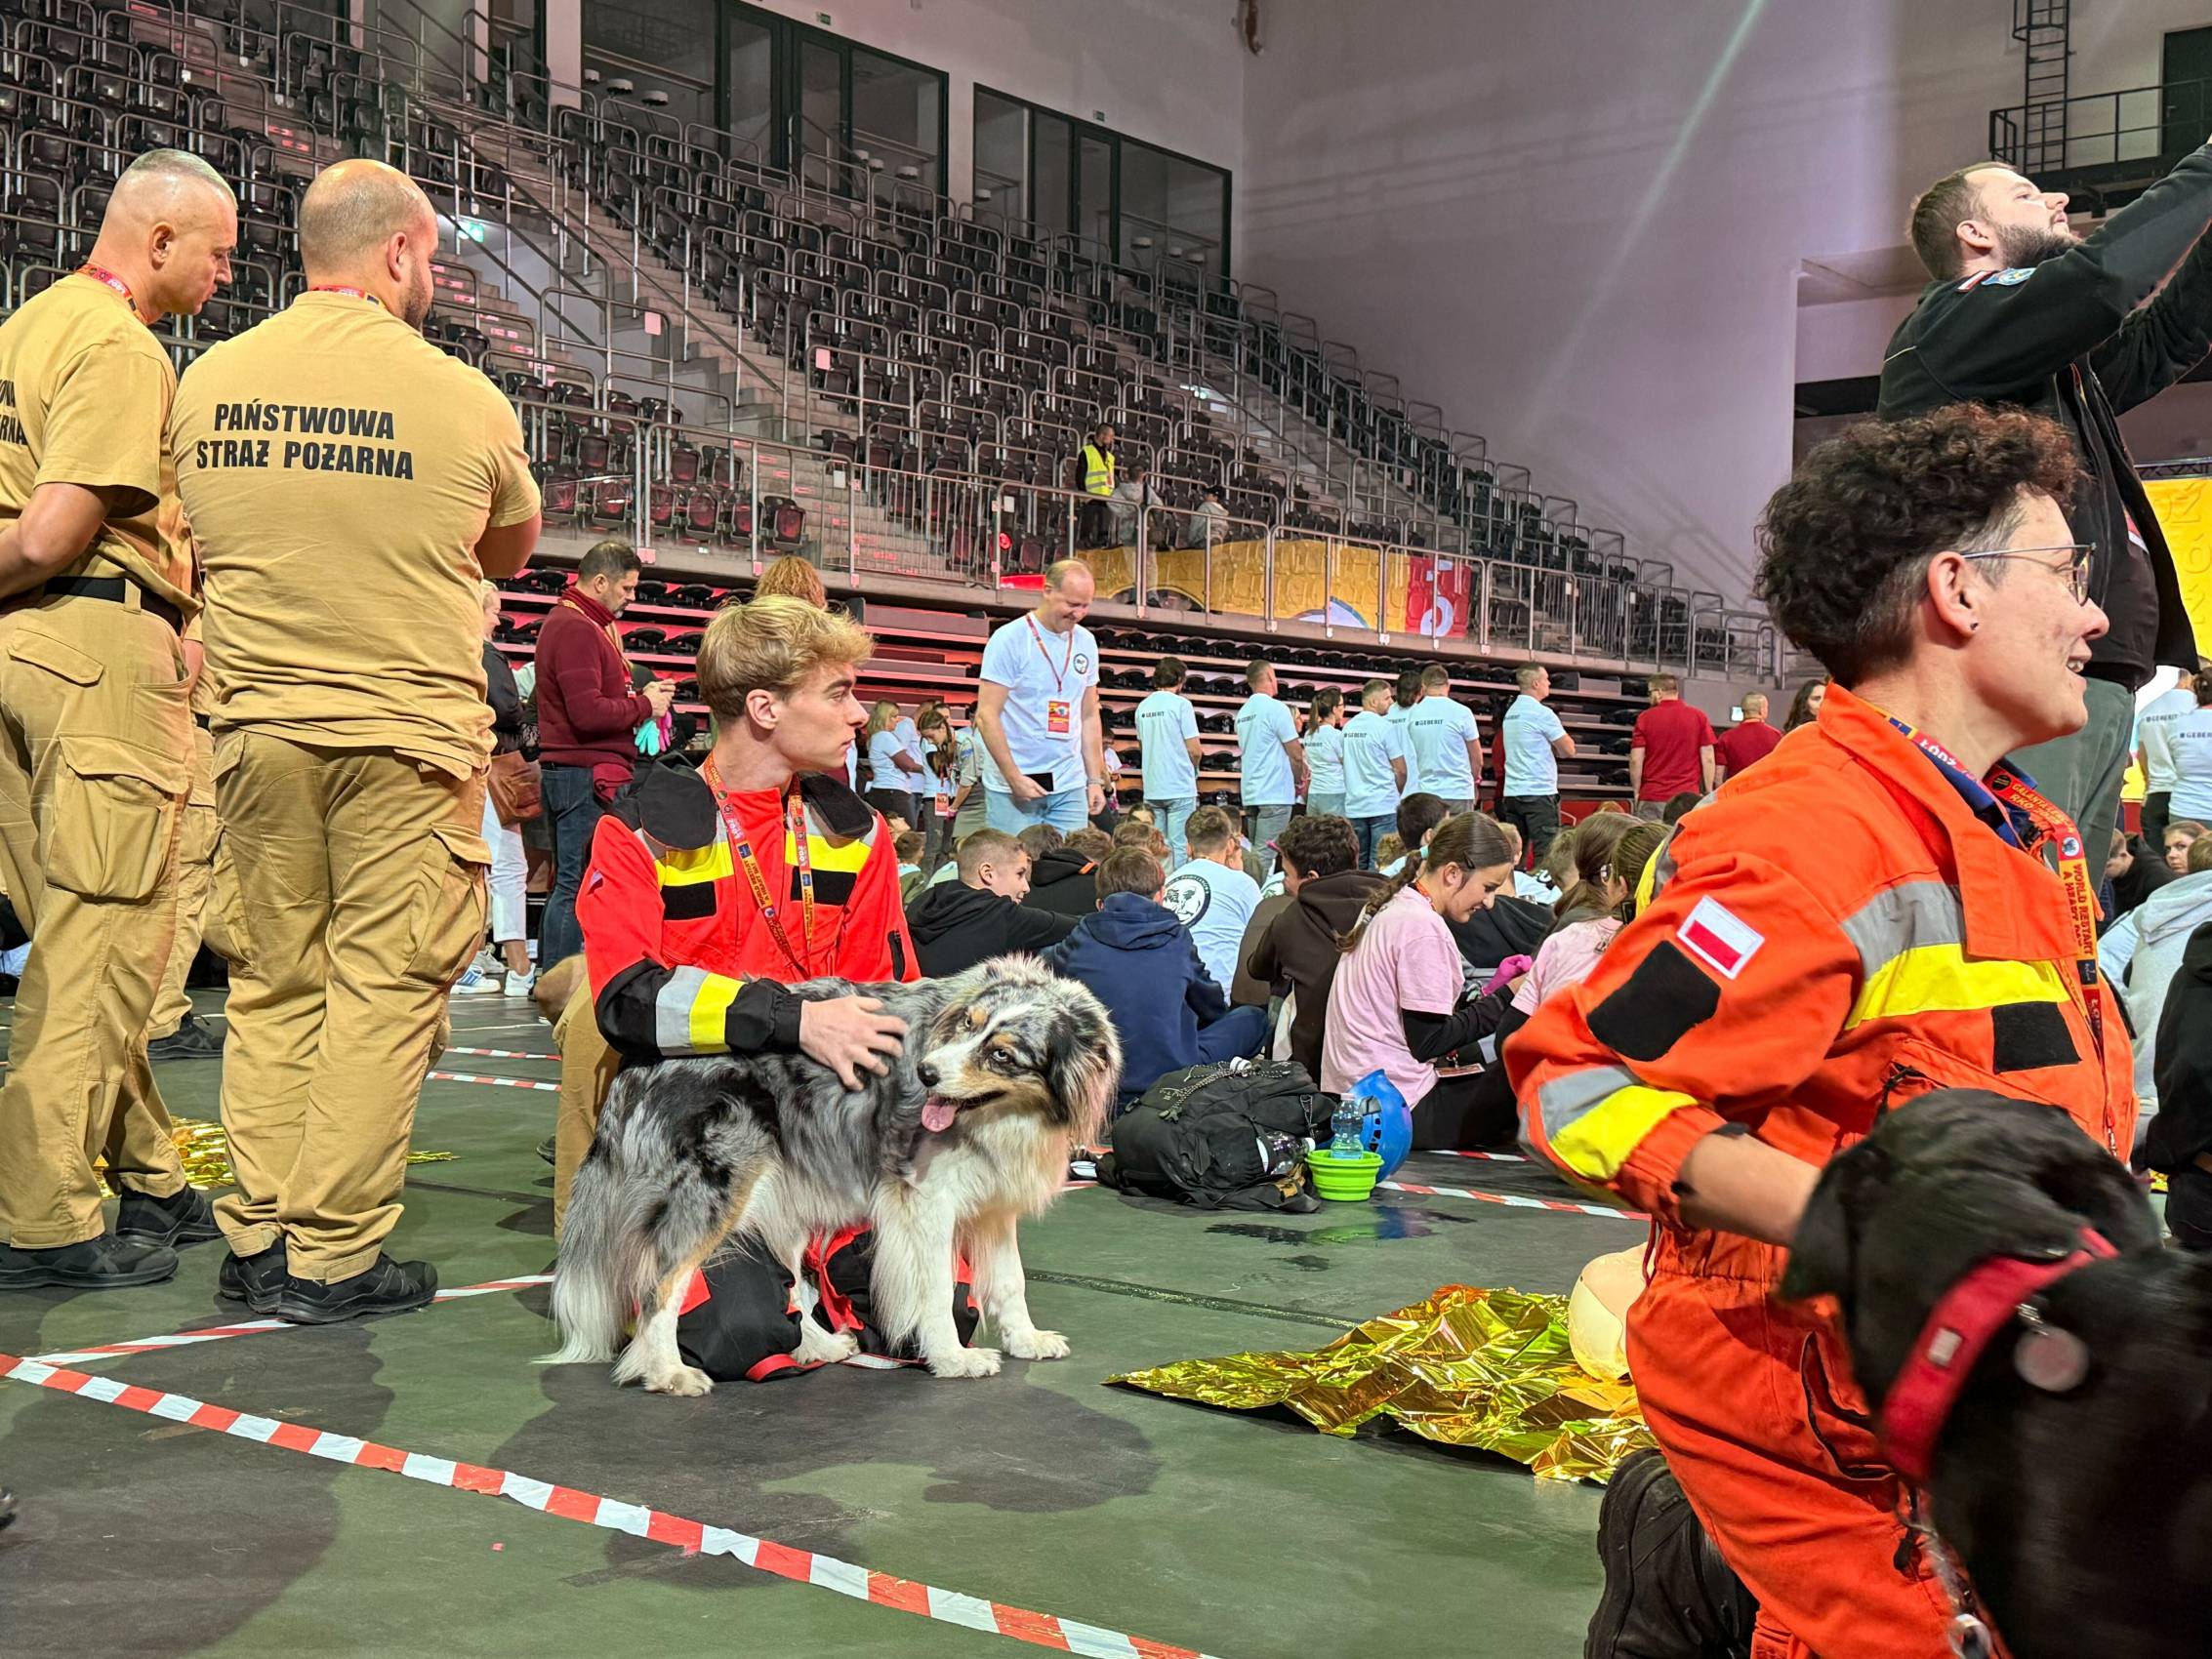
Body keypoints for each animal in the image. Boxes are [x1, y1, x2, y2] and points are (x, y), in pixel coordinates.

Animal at [545, 956, 1120, 1397]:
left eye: (1001, 1053)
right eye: (967, 1024)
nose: (926, 1073)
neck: (1004, 1116)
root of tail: (640, 1065)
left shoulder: (997, 1202)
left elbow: (1010, 1281)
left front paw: (1027, 1340)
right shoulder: (925, 1199)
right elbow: (936, 1288)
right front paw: (953, 1357)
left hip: (785, 1190)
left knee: (794, 1283)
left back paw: (819, 1347)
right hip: (715, 1192)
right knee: (659, 1288)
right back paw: (668, 1372)